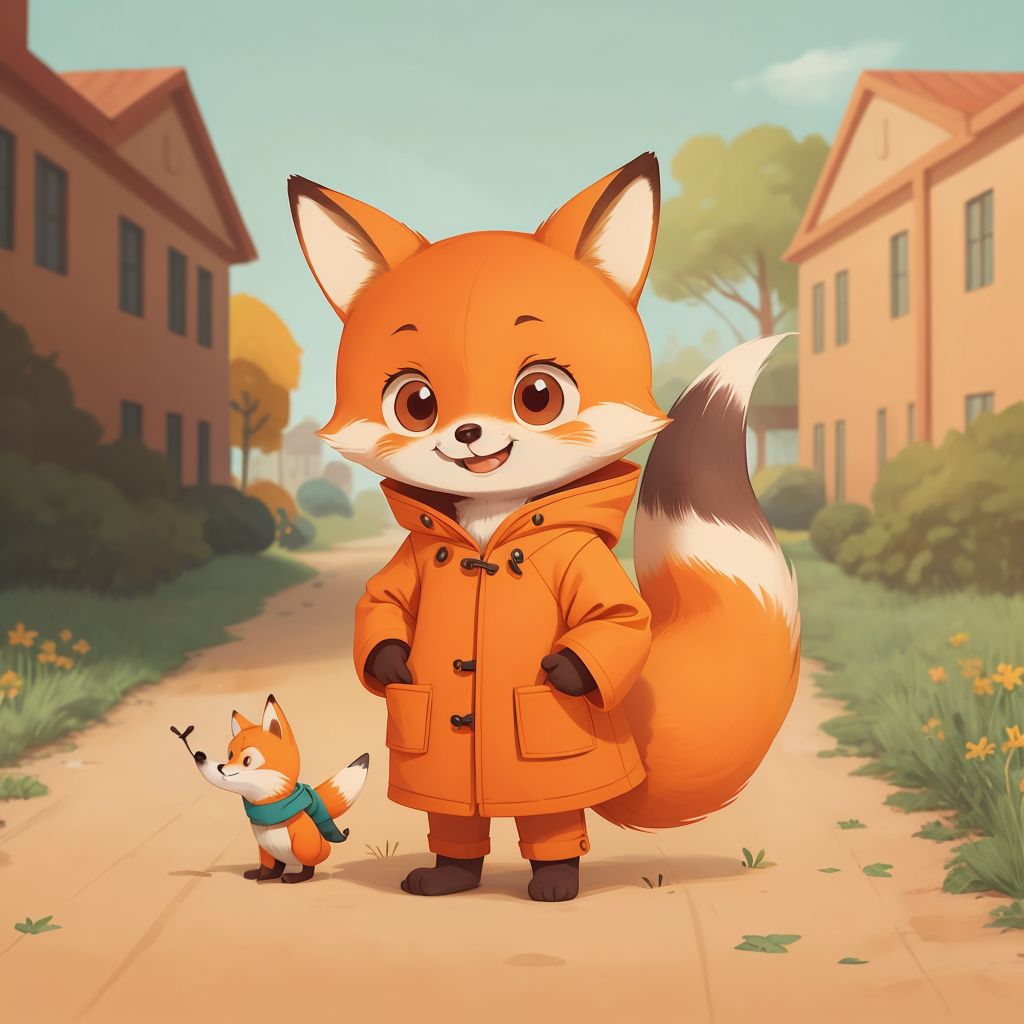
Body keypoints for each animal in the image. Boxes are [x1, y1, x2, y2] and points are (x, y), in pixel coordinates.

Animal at [176, 695, 369, 883]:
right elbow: (267, 867)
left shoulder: (304, 842)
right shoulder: (264, 851)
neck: (271, 809)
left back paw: (295, 877)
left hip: (303, 849)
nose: (219, 767)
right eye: (230, 755)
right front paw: (263, 875)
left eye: (247, 760)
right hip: (267, 849)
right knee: (277, 866)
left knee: (308, 865)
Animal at [286, 152, 800, 901]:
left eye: (539, 395)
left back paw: (556, 881)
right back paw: (449, 875)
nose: (469, 434)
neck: (489, 525)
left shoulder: (584, 563)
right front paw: (389, 661)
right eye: (415, 402)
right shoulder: (414, 558)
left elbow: (617, 620)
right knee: (456, 822)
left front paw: (566, 669)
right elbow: (382, 604)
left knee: (555, 821)